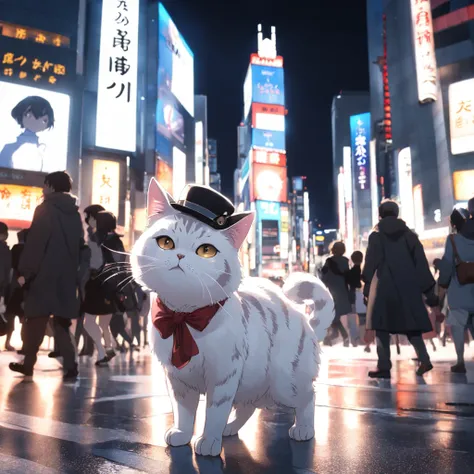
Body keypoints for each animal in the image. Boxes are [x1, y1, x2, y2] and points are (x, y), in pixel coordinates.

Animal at [131, 178, 332, 456]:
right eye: (166, 243)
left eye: (206, 250)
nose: (180, 256)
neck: (185, 318)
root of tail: (305, 321)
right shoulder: (177, 379)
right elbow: (183, 412)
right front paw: (182, 434)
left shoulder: (223, 376)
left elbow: (214, 412)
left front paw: (208, 441)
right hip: (253, 382)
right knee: (248, 407)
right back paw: (231, 429)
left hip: (285, 382)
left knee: (308, 398)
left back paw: (303, 429)